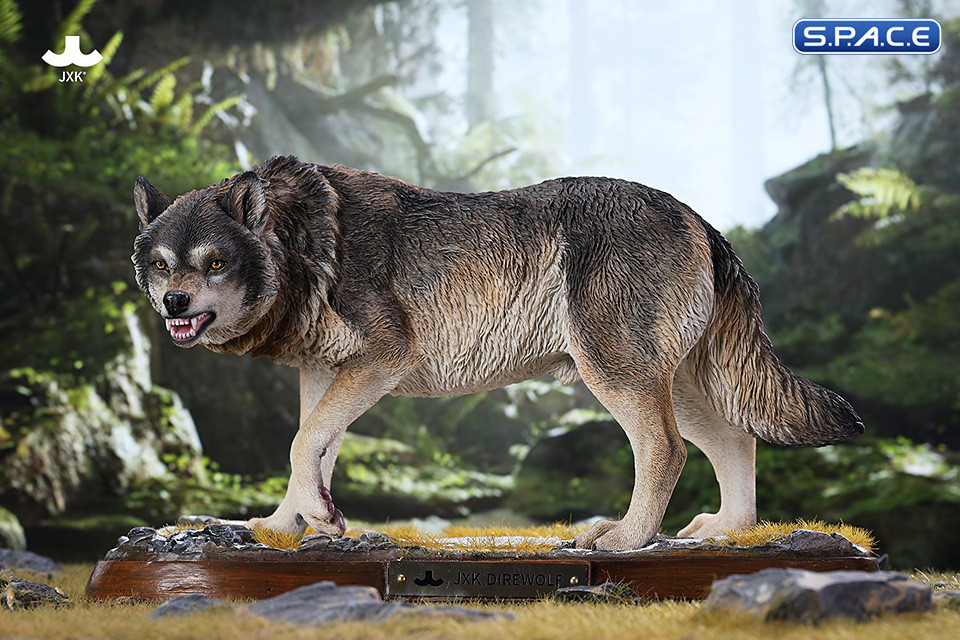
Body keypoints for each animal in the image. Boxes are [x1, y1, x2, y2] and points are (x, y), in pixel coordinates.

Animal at [131, 155, 863, 550]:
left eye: (215, 262)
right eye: (162, 264)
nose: (172, 305)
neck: (301, 242)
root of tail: (698, 216)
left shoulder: (382, 360)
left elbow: (299, 444)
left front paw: (313, 519)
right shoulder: (323, 375)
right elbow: (309, 451)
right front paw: (290, 524)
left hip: (618, 376)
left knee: (668, 450)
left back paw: (624, 538)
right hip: (673, 385)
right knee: (738, 441)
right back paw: (730, 532)